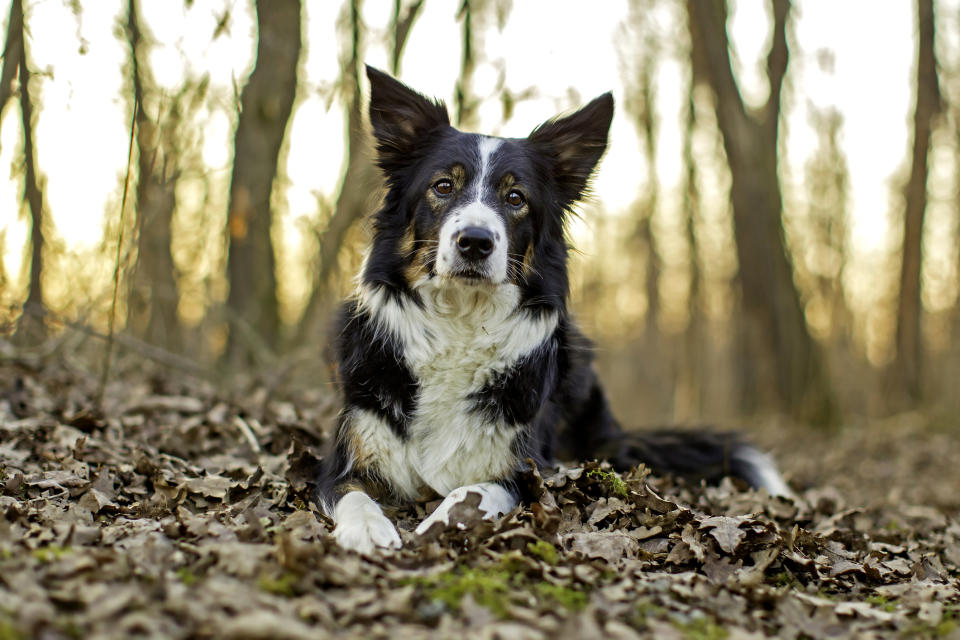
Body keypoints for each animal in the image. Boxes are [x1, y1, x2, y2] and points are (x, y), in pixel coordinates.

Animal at [316, 66, 788, 556]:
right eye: (443, 186)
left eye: (516, 198)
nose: (475, 242)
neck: (460, 322)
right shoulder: (344, 459)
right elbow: (354, 496)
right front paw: (368, 530)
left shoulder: (521, 467)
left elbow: (472, 491)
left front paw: (442, 524)